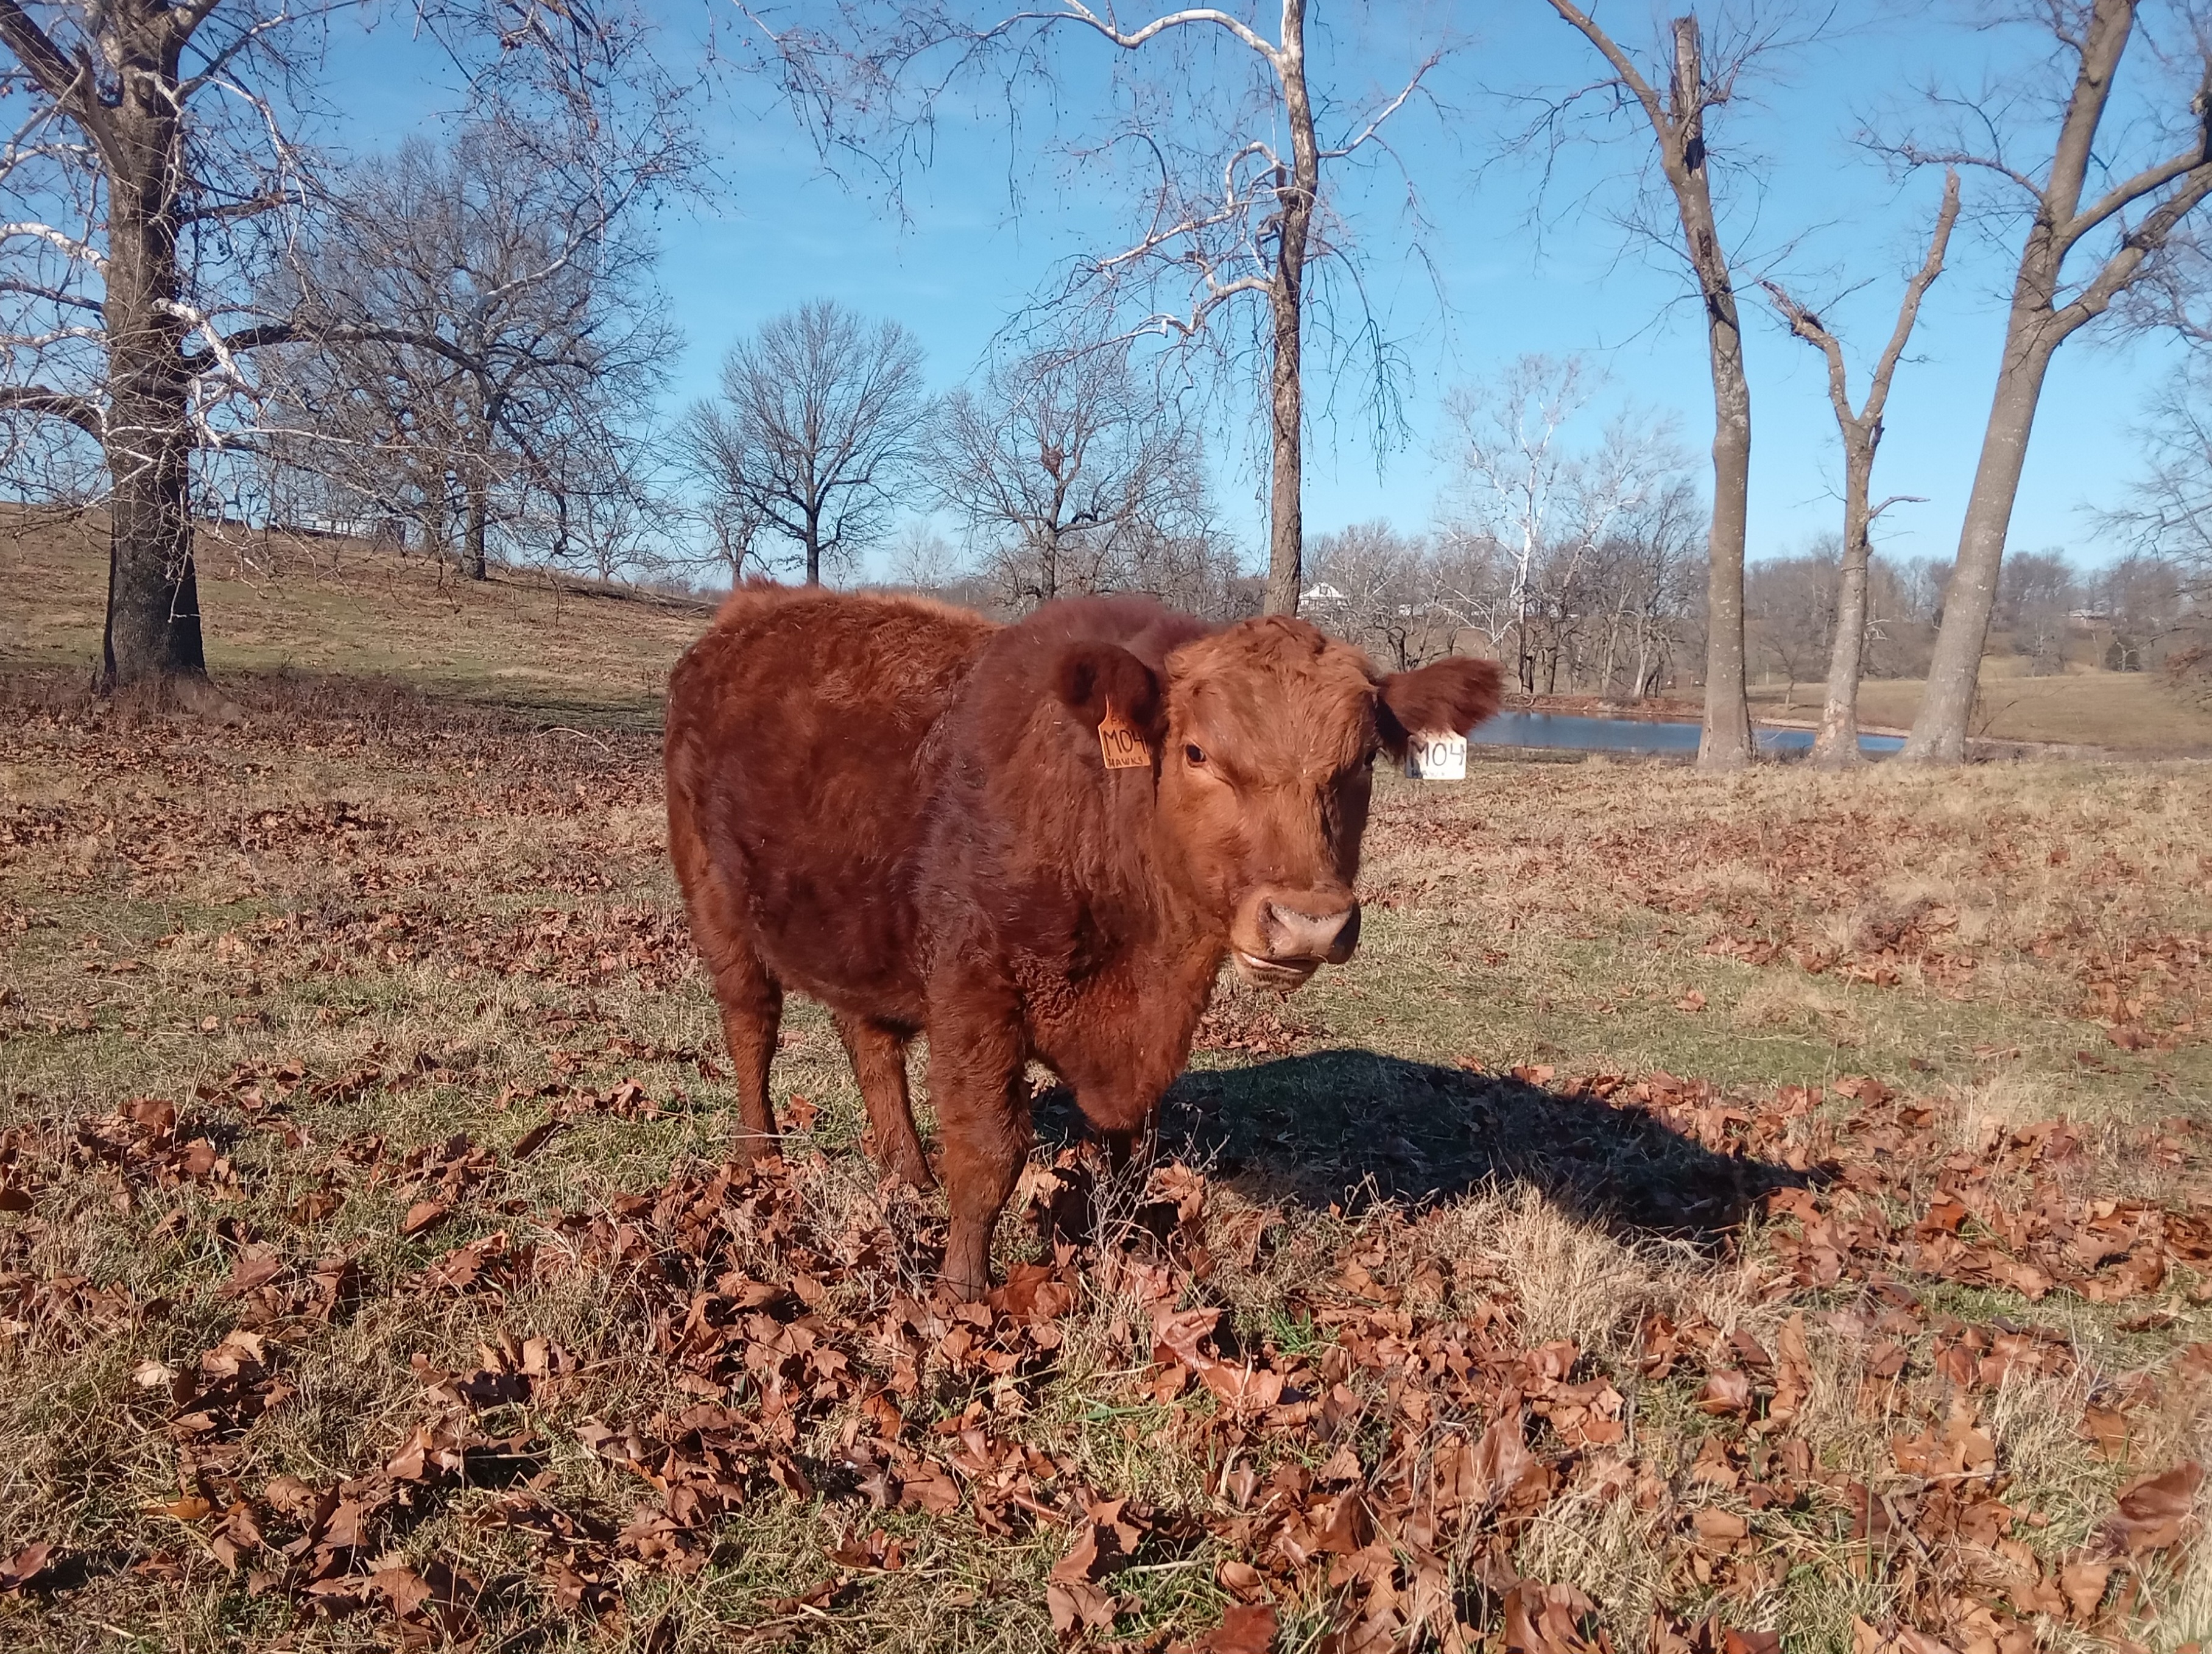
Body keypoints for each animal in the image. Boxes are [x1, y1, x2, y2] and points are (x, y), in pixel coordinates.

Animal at [664, 585, 1501, 1297]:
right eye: (1196, 753)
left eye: (1359, 763)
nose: (1308, 921)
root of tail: (748, 612)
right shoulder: (974, 992)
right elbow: (990, 1151)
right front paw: (962, 1291)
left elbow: (1128, 1150)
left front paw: (1126, 1251)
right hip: (716, 905)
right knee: (751, 1027)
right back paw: (759, 1158)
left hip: (857, 926)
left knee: (869, 1043)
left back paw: (907, 1175)